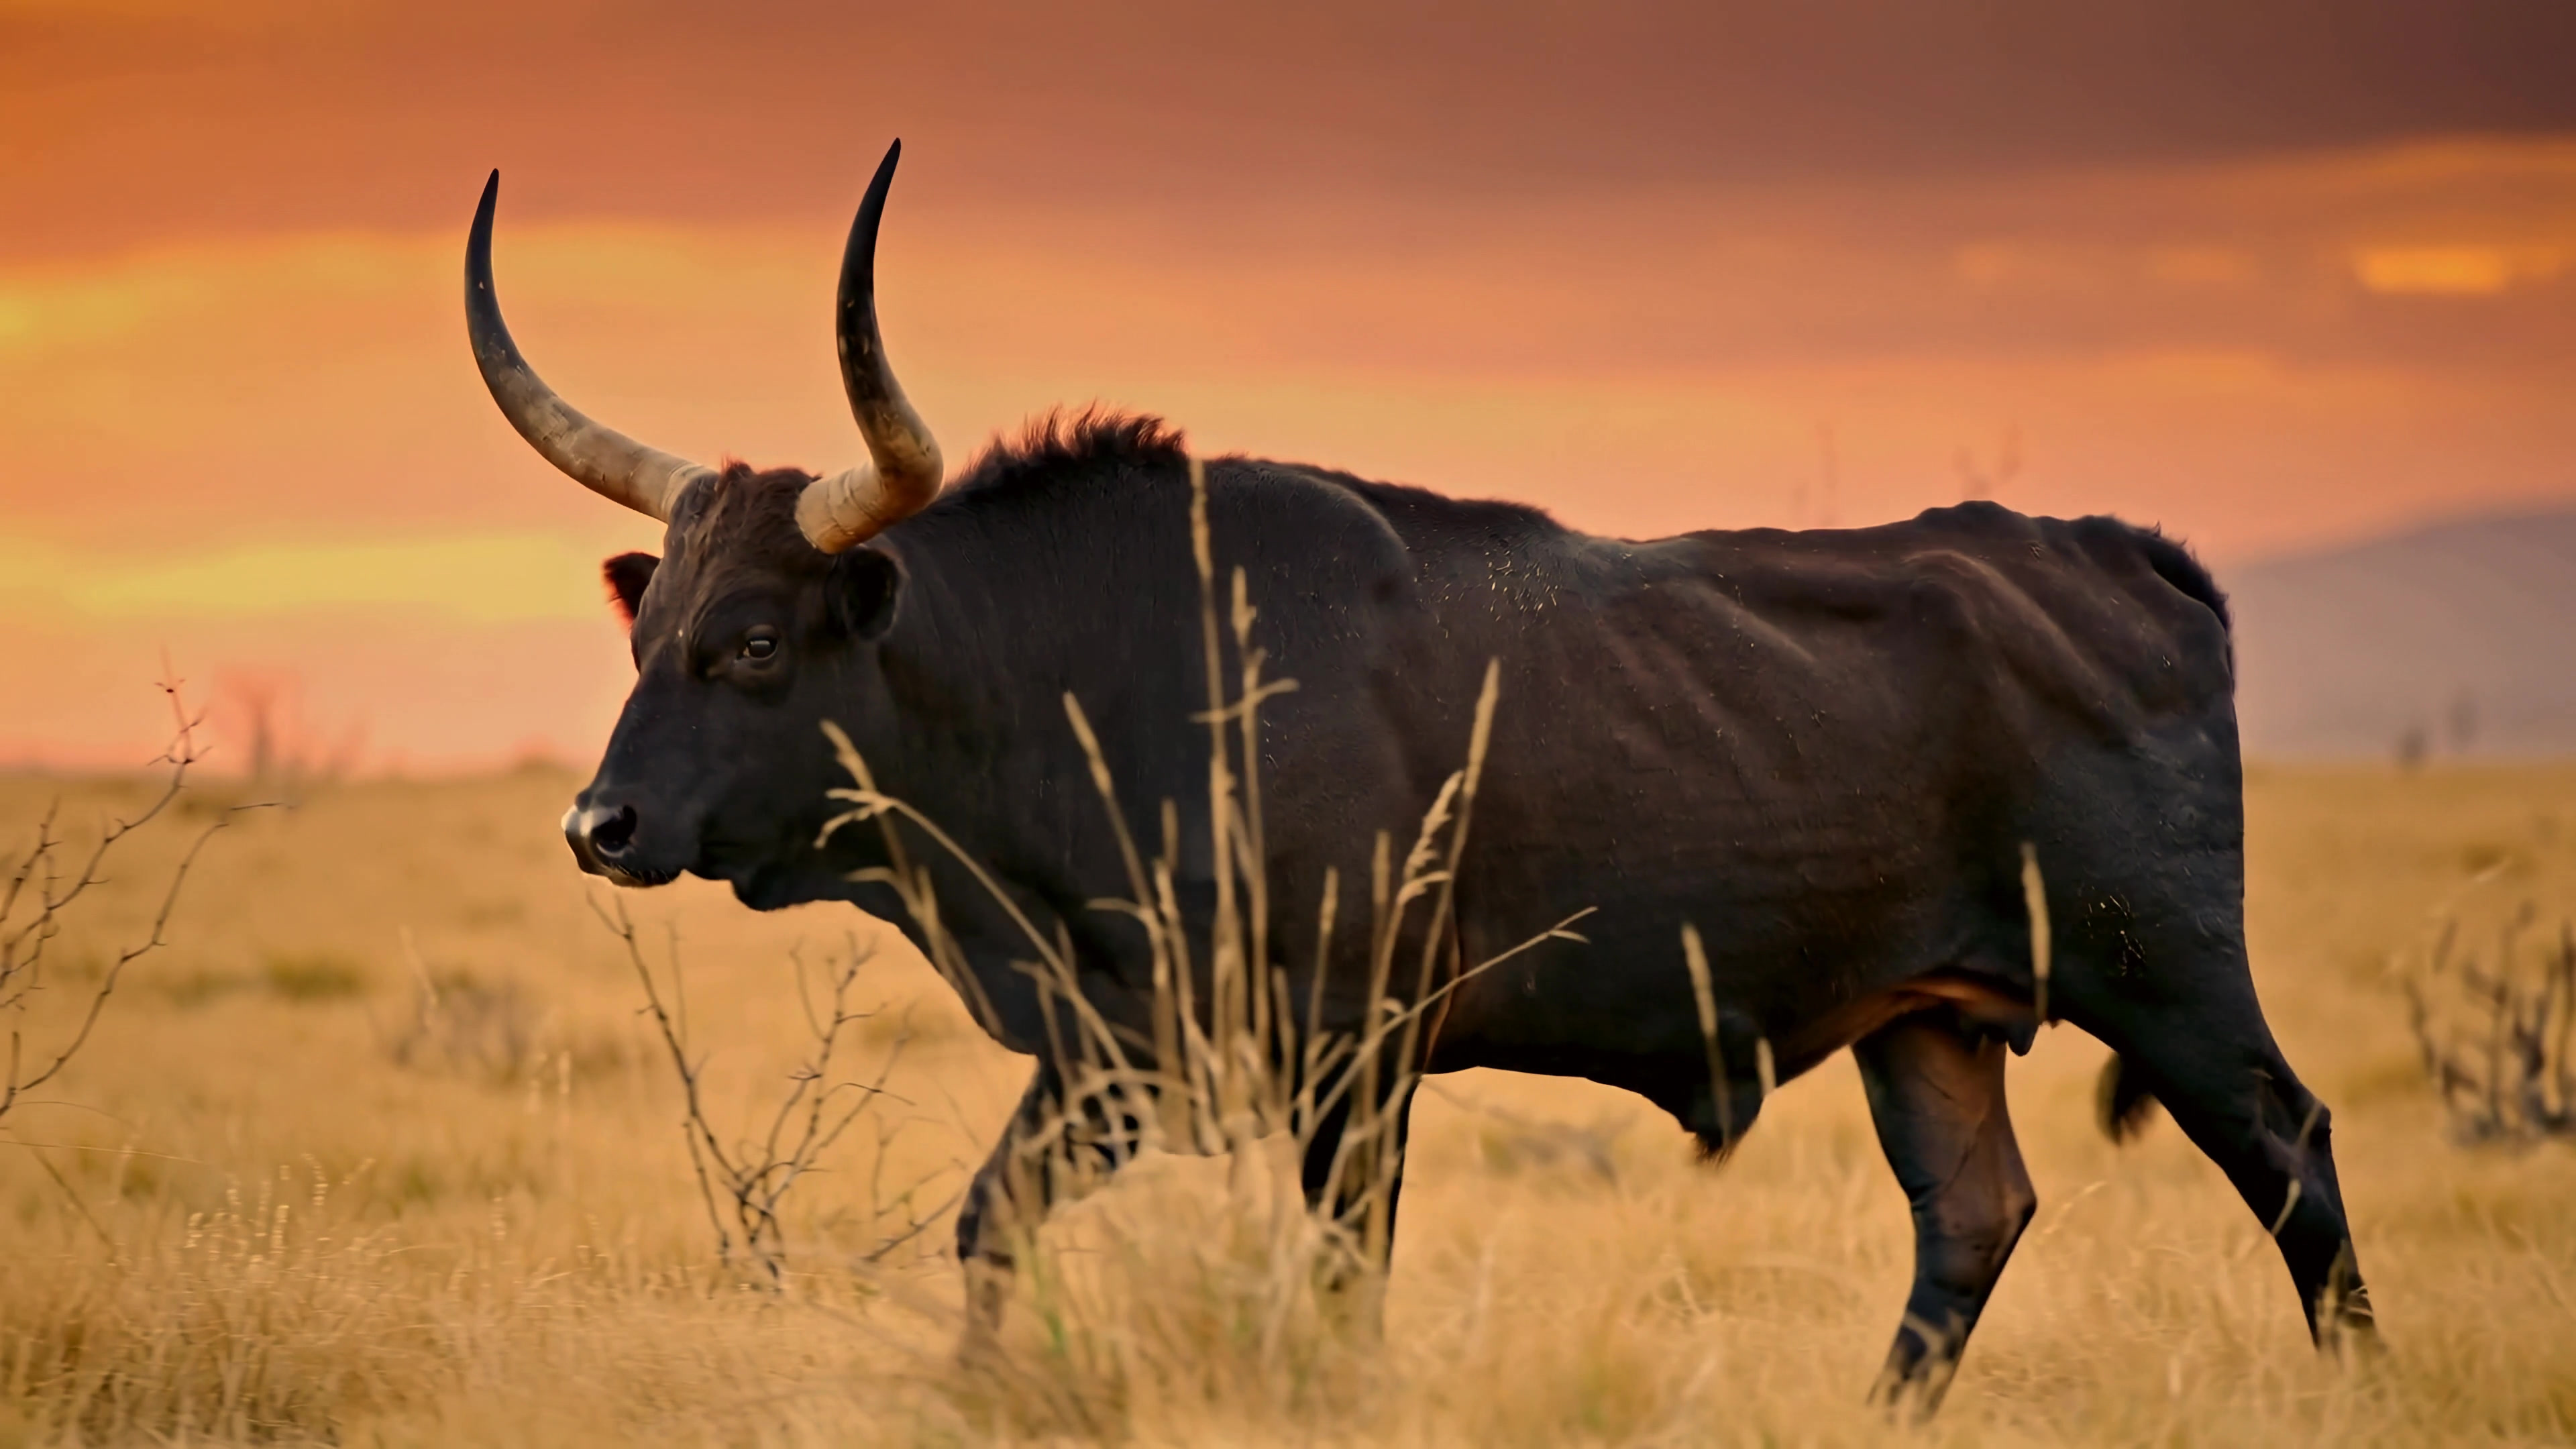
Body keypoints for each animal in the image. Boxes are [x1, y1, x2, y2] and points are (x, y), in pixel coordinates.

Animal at [464, 140, 2376, 1408]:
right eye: (650, 636)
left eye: (755, 645)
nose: (596, 825)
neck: (1123, 671)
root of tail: (2115, 553)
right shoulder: (1121, 1054)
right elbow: (990, 1224)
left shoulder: (1354, 1059)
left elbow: (1336, 1290)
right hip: (1928, 1020)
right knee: (1971, 1217)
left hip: (2166, 975)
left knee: (2291, 1155)